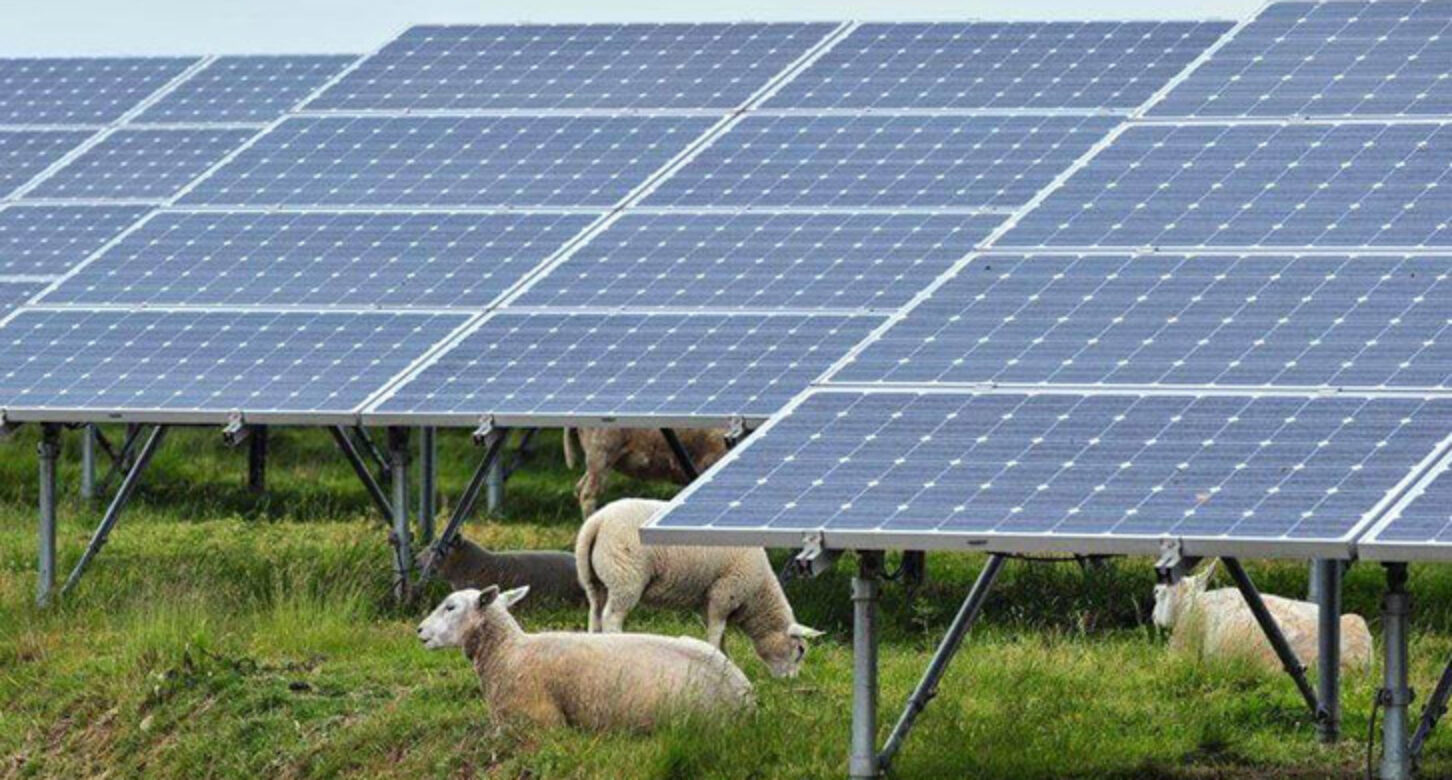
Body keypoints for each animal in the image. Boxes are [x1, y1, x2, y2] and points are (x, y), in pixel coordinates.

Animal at [572, 499, 824, 673]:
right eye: (800, 650)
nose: (793, 679)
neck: (757, 596)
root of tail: (597, 521)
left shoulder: (709, 602)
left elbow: (720, 636)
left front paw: (725, 659)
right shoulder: (725, 594)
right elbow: (716, 633)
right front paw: (718, 659)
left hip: (595, 581)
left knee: (595, 613)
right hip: (626, 577)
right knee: (611, 618)